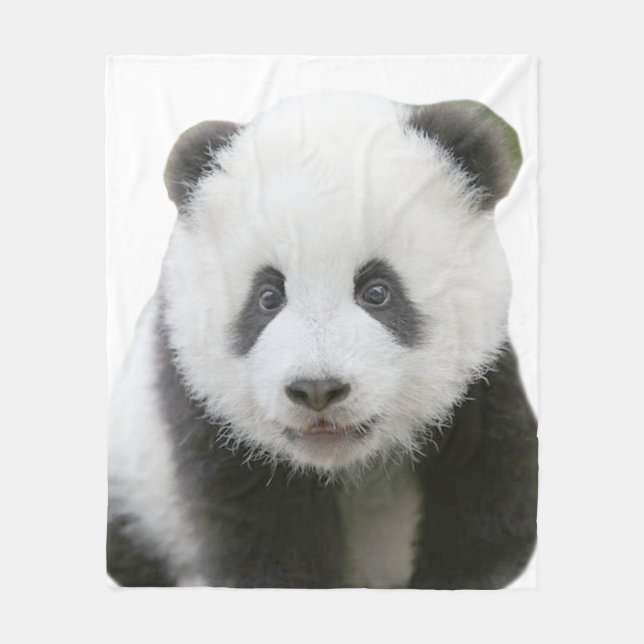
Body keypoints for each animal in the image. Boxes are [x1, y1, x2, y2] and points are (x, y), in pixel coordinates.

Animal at [107, 92, 538, 589]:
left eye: (377, 292)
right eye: (268, 296)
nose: (317, 390)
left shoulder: (479, 379)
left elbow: (490, 484)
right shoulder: (202, 407)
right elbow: (260, 525)